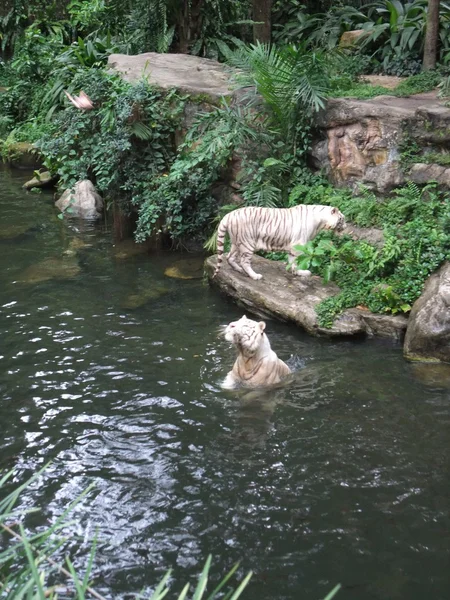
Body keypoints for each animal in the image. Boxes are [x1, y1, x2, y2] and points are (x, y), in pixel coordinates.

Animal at [213, 204, 346, 282]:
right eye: (342, 219)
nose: (345, 227)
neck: (320, 222)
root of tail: (229, 215)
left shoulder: (293, 246)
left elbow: (292, 261)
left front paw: (295, 272)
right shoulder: (298, 244)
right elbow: (296, 261)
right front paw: (302, 272)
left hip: (237, 242)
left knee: (229, 257)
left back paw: (239, 270)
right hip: (247, 243)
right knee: (244, 261)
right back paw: (254, 276)